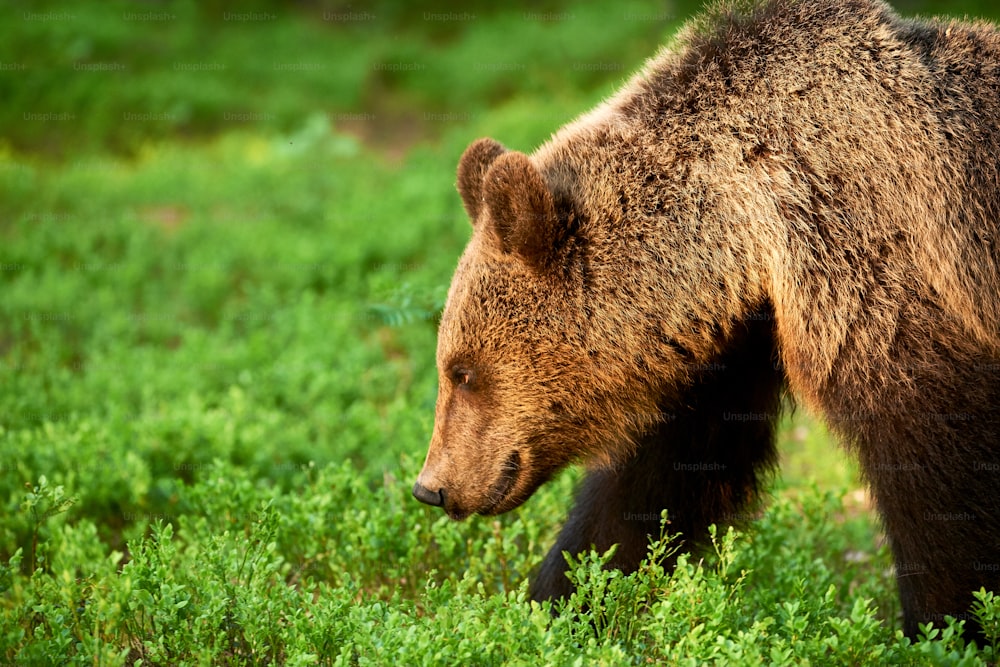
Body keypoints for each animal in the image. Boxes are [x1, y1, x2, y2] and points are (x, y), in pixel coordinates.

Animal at [412, 0, 1000, 640]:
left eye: (463, 371)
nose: (431, 487)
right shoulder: (737, 340)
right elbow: (660, 479)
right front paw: (562, 599)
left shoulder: (882, 273)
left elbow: (937, 474)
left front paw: (949, 625)